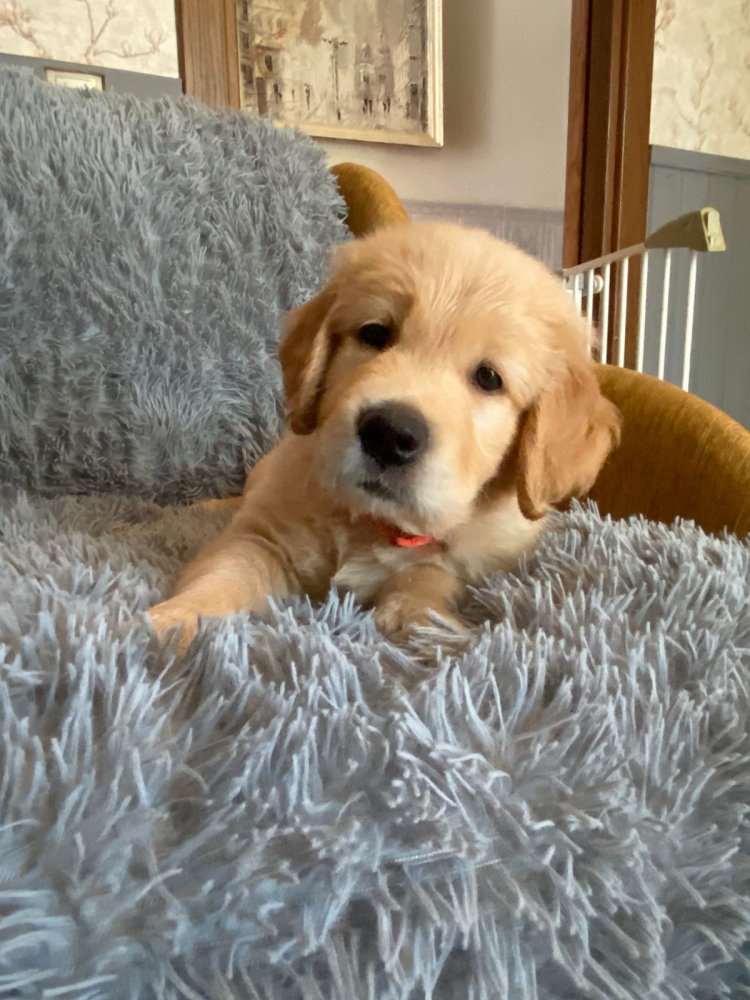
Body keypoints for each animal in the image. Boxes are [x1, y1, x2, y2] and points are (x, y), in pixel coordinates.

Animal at [148, 222, 620, 647]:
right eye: (375, 333)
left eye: (489, 378)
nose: (390, 434)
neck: (375, 523)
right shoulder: (263, 532)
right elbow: (226, 572)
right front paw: (173, 622)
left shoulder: (472, 559)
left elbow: (428, 576)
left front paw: (427, 626)